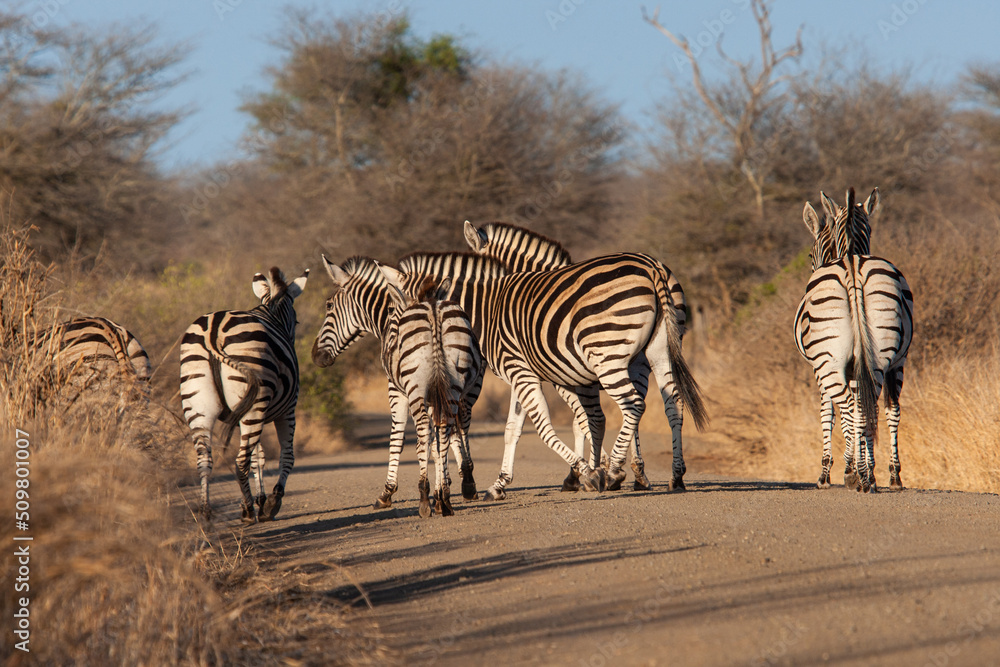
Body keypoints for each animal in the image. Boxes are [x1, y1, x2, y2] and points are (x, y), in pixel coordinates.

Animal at [180, 267, 308, 523]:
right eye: (297, 320)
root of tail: (214, 329)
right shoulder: (289, 409)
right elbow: (286, 455)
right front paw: (271, 502)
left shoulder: (242, 413)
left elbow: (258, 455)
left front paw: (260, 498)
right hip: (255, 401)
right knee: (241, 460)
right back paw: (249, 511)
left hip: (199, 404)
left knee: (204, 458)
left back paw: (206, 510)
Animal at [313, 256, 484, 517]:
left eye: (329, 306)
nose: (315, 356)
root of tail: (432, 308)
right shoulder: (435, 393)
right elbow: (437, 441)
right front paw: (442, 489)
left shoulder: (396, 389)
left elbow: (398, 437)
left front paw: (387, 493)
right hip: (455, 382)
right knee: (453, 425)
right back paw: (452, 493)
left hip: (417, 386)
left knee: (428, 429)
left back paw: (425, 498)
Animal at [381, 248, 709, 500]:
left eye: (401, 318)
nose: (389, 362)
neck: (484, 310)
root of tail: (652, 266)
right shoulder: (521, 371)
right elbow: (512, 428)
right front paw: (499, 485)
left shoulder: (521, 369)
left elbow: (544, 426)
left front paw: (590, 474)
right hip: (659, 350)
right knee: (673, 405)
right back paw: (676, 477)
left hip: (608, 355)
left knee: (633, 405)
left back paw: (616, 469)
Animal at [794, 187, 913, 492]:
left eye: (811, 254)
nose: (812, 267)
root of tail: (851, 264)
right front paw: (867, 468)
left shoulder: (819, 370)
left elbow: (828, 414)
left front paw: (829, 472)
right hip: (888, 357)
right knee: (884, 408)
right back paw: (888, 476)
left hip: (829, 362)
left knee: (850, 407)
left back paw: (856, 474)